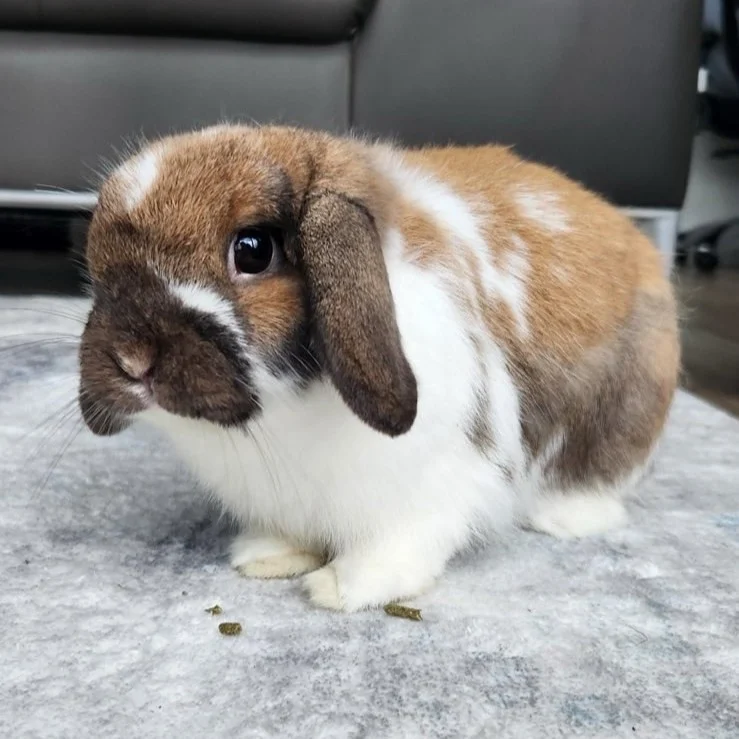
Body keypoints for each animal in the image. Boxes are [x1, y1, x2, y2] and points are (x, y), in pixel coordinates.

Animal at [78, 124, 679, 611]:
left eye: (252, 250)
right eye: (98, 261)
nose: (131, 359)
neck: (281, 418)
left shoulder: (433, 484)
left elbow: (395, 548)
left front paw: (340, 589)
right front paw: (266, 556)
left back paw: (564, 517)